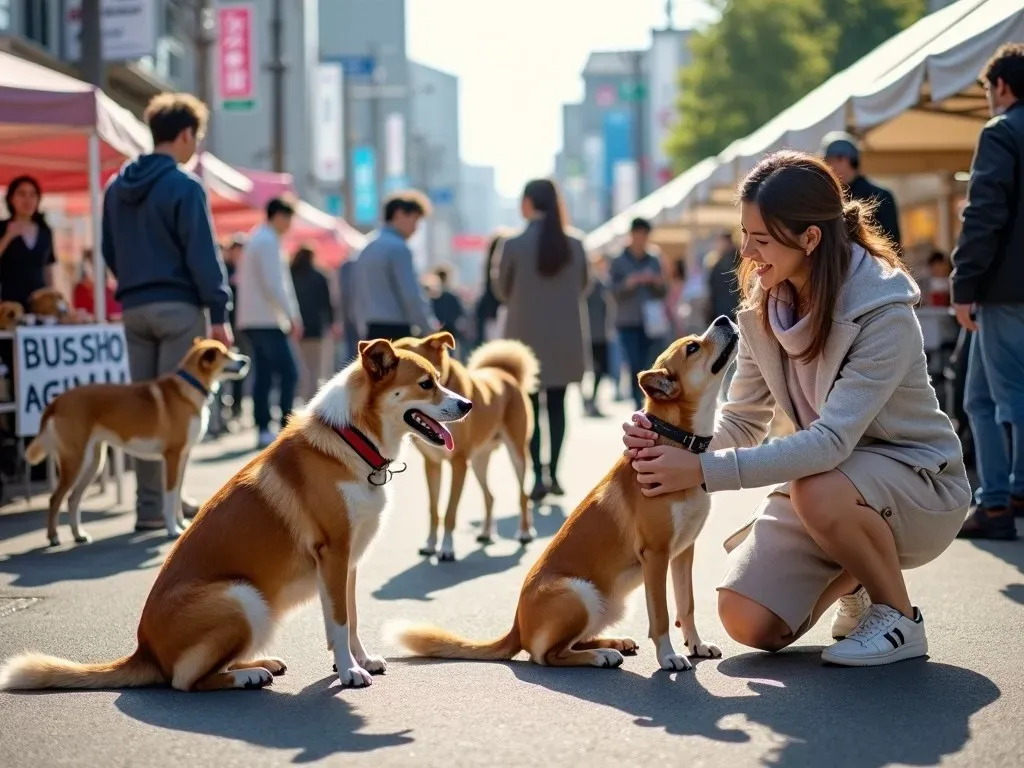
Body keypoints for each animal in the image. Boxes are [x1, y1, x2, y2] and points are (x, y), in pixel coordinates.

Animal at [24, 337, 249, 548]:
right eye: (225, 354)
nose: (245, 360)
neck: (188, 387)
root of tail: (57, 400)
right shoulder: (172, 456)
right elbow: (169, 496)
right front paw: (172, 529)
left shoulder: (183, 457)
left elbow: (177, 494)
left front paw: (182, 525)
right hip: (75, 460)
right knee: (55, 499)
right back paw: (53, 537)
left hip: (93, 462)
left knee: (72, 499)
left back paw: (78, 535)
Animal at [391, 333, 540, 561]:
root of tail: (504, 372)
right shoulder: (432, 464)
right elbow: (434, 509)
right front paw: (430, 544)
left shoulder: (459, 463)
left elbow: (450, 512)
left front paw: (446, 548)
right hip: (478, 462)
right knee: (490, 496)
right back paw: (486, 532)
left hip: (517, 454)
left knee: (523, 495)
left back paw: (524, 532)